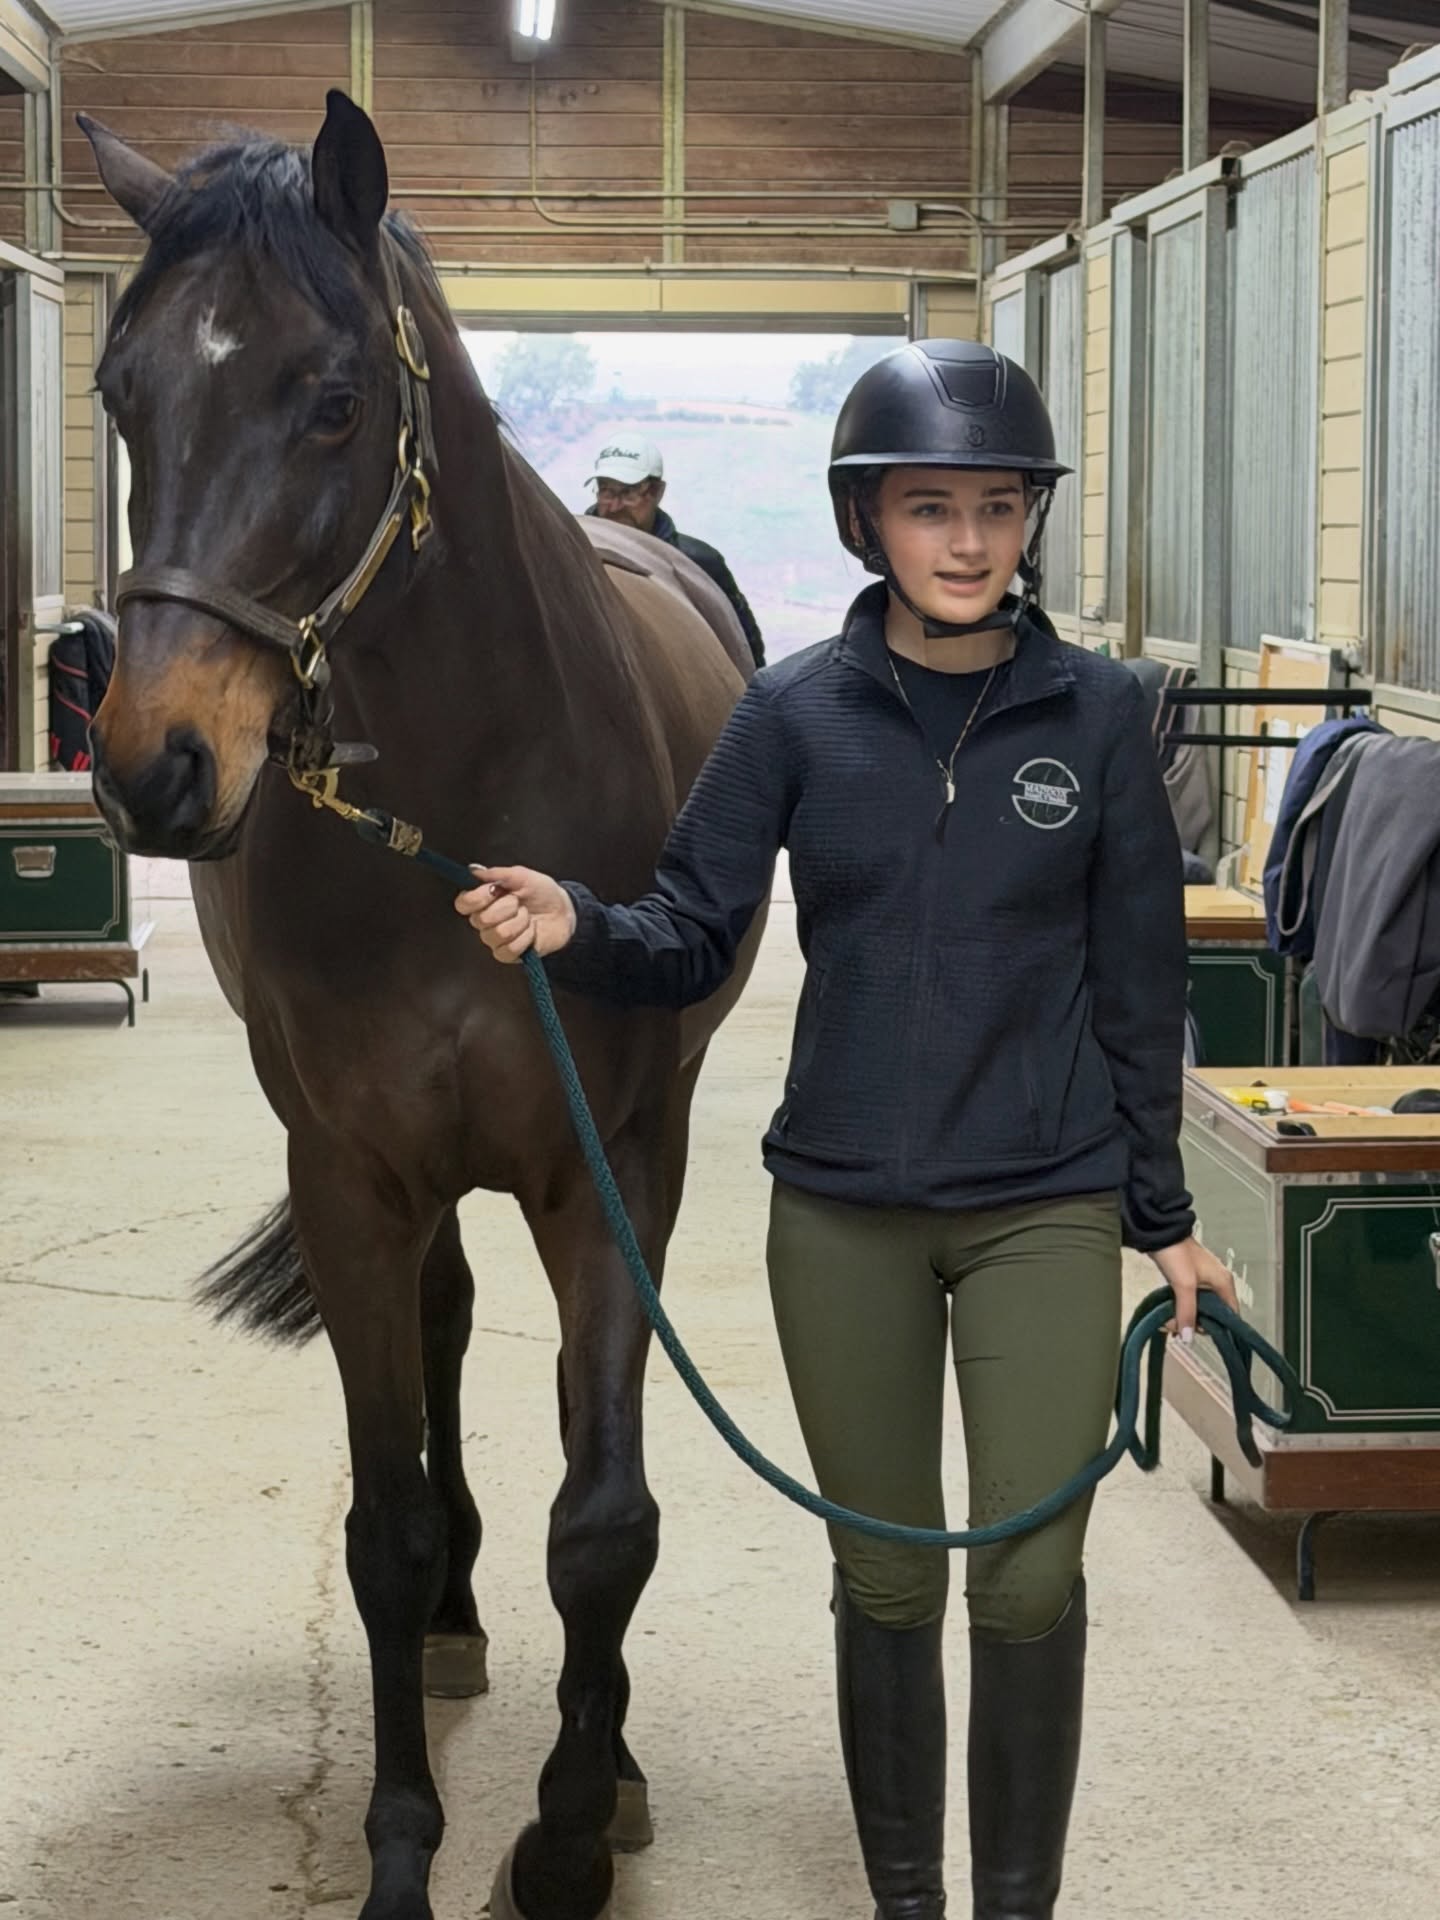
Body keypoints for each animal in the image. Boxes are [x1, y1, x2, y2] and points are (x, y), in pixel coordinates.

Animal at [80, 89, 760, 1920]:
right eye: (117, 393)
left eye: (332, 400)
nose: (157, 767)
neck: (469, 791)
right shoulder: (353, 1176)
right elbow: (378, 1531)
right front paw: (404, 1851)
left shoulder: (606, 1167)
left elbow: (606, 1522)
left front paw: (573, 1832)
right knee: (449, 1339)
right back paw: (461, 1622)